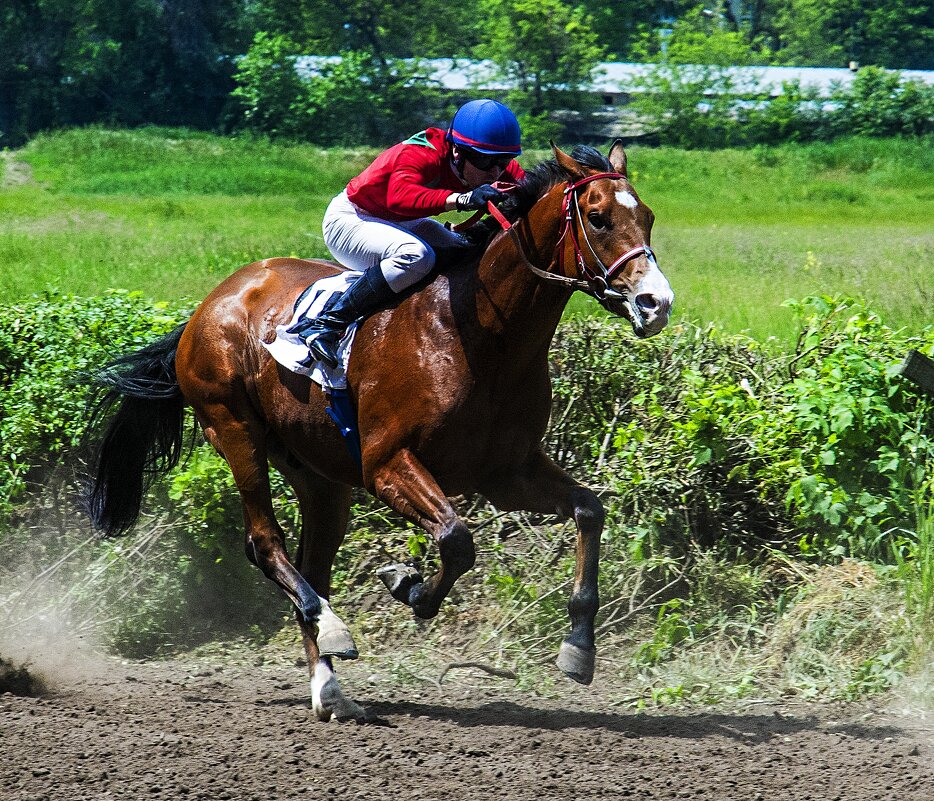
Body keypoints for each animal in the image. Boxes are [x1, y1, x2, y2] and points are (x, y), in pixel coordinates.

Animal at [84, 142, 672, 720]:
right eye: (597, 217)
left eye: (647, 216)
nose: (656, 304)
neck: (481, 333)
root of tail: (207, 306)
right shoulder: (387, 463)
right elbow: (457, 541)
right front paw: (408, 586)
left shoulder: (506, 473)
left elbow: (588, 510)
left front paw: (579, 646)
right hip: (233, 427)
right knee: (265, 542)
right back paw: (331, 628)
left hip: (319, 475)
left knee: (313, 562)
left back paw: (329, 688)